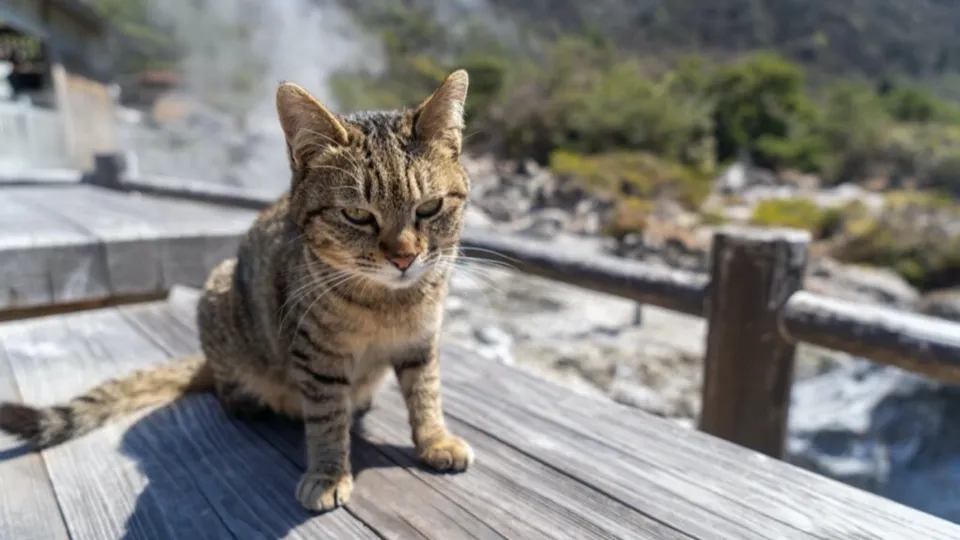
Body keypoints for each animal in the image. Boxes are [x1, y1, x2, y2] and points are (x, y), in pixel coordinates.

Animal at [0, 69, 476, 512]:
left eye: (429, 207)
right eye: (357, 215)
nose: (404, 258)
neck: (389, 304)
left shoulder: (421, 341)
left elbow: (426, 392)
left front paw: (435, 439)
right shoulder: (318, 355)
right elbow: (326, 418)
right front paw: (328, 472)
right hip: (222, 299)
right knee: (234, 396)